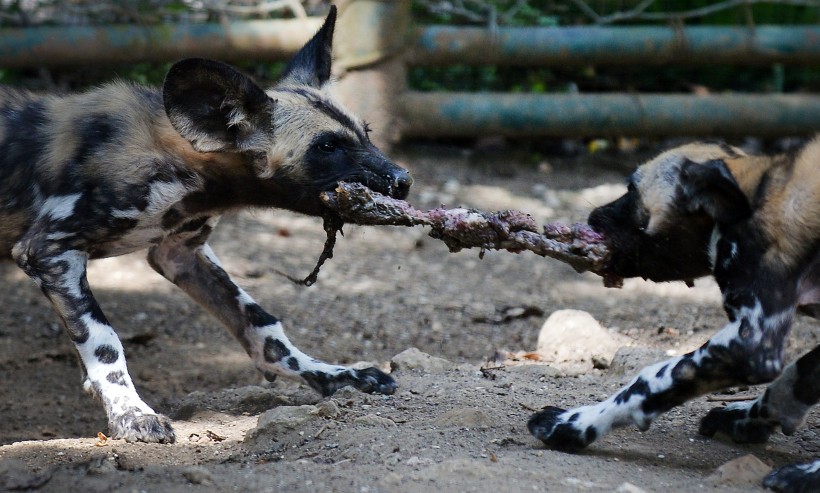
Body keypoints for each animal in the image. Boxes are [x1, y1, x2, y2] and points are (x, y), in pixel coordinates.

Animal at [0, 7, 410, 444]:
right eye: (328, 147)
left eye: (366, 133)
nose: (404, 180)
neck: (183, 167)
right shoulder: (49, 251)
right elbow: (103, 340)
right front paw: (131, 414)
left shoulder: (179, 253)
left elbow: (263, 327)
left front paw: (335, 375)